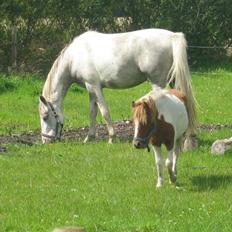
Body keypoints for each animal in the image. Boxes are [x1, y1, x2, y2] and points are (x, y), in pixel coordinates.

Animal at [39, 27, 197, 147]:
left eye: (45, 117)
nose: (46, 140)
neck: (75, 57)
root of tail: (172, 36)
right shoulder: (90, 89)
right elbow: (92, 113)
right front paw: (89, 137)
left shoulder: (95, 87)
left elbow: (104, 112)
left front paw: (111, 138)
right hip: (173, 80)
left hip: (158, 83)